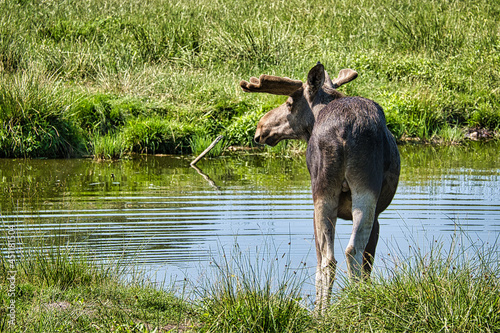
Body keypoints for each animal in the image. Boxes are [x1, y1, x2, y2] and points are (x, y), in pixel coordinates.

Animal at [240, 62, 400, 308]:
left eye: (289, 102)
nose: (260, 129)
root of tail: (344, 130)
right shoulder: (377, 215)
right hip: (358, 189)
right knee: (344, 253)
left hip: (328, 191)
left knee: (332, 258)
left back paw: (327, 309)